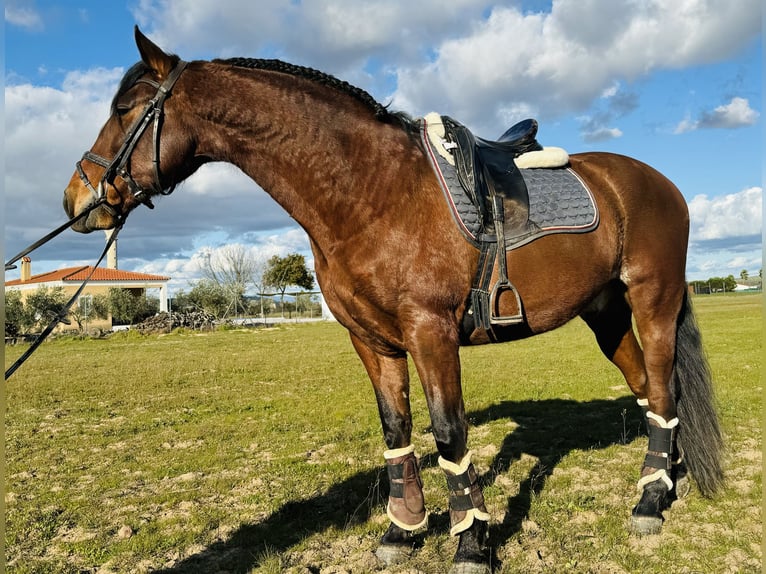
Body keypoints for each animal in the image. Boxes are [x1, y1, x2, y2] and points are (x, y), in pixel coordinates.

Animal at [61, 28, 728, 574]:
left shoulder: (430, 332)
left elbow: (449, 434)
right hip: (606, 313)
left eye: (124, 109)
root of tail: (658, 182)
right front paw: (403, 531)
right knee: (650, 389)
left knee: (664, 385)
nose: (77, 199)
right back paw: (664, 478)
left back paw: (649, 502)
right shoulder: (372, 339)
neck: (369, 189)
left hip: (653, 303)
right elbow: (396, 427)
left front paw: (471, 544)